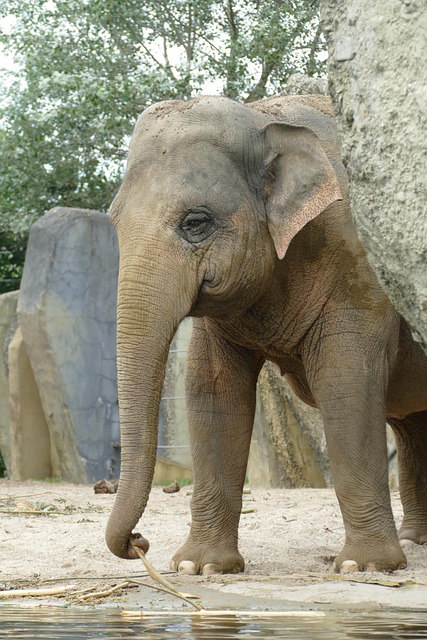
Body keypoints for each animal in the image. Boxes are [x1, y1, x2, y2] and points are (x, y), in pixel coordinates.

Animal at [106, 94, 427, 575]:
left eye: (195, 223)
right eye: (113, 219)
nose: (138, 542)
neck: (265, 118)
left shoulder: (360, 267)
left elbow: (347, 384)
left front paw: (365, 567)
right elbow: (212, 391)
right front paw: (200, 567)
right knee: (412, 424)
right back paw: (415, 539)